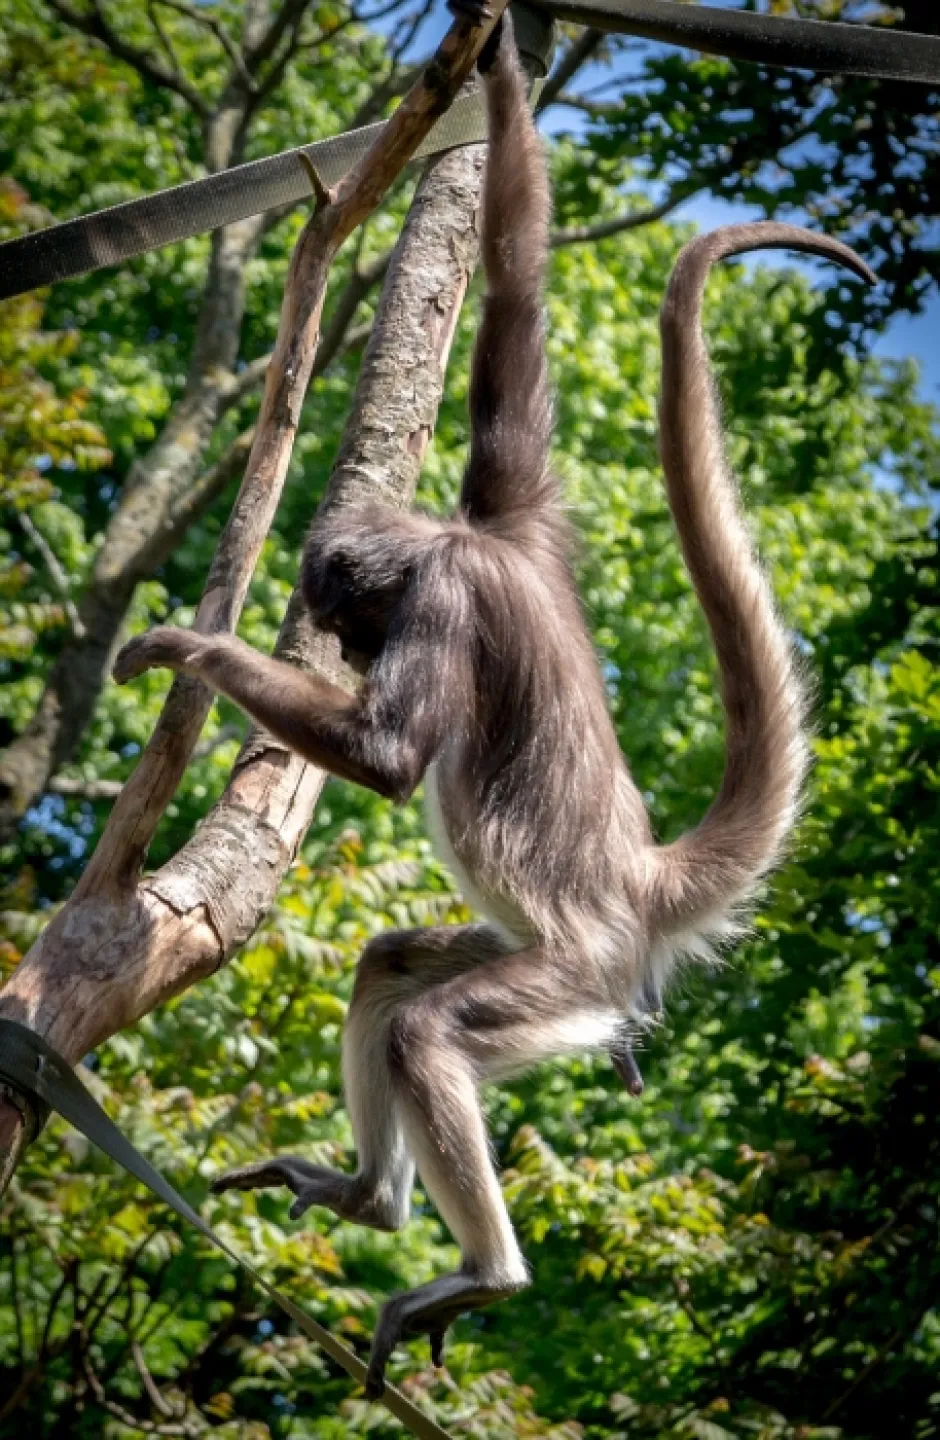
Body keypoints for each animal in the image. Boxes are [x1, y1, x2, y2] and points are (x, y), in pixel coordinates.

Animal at [112, 3, 875, 1396]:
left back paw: (482, 1271)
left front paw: (194, 649)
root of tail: (638, 883)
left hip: (574, 979)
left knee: (430, 1034)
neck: (464, 547)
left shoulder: (453, 590)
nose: (346, 646)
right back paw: (372, 1199)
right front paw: (505, 61)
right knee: (391, 966)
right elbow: (515, 290)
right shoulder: (511, 503)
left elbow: (389, 757)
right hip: (535, 965)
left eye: (356, 624)